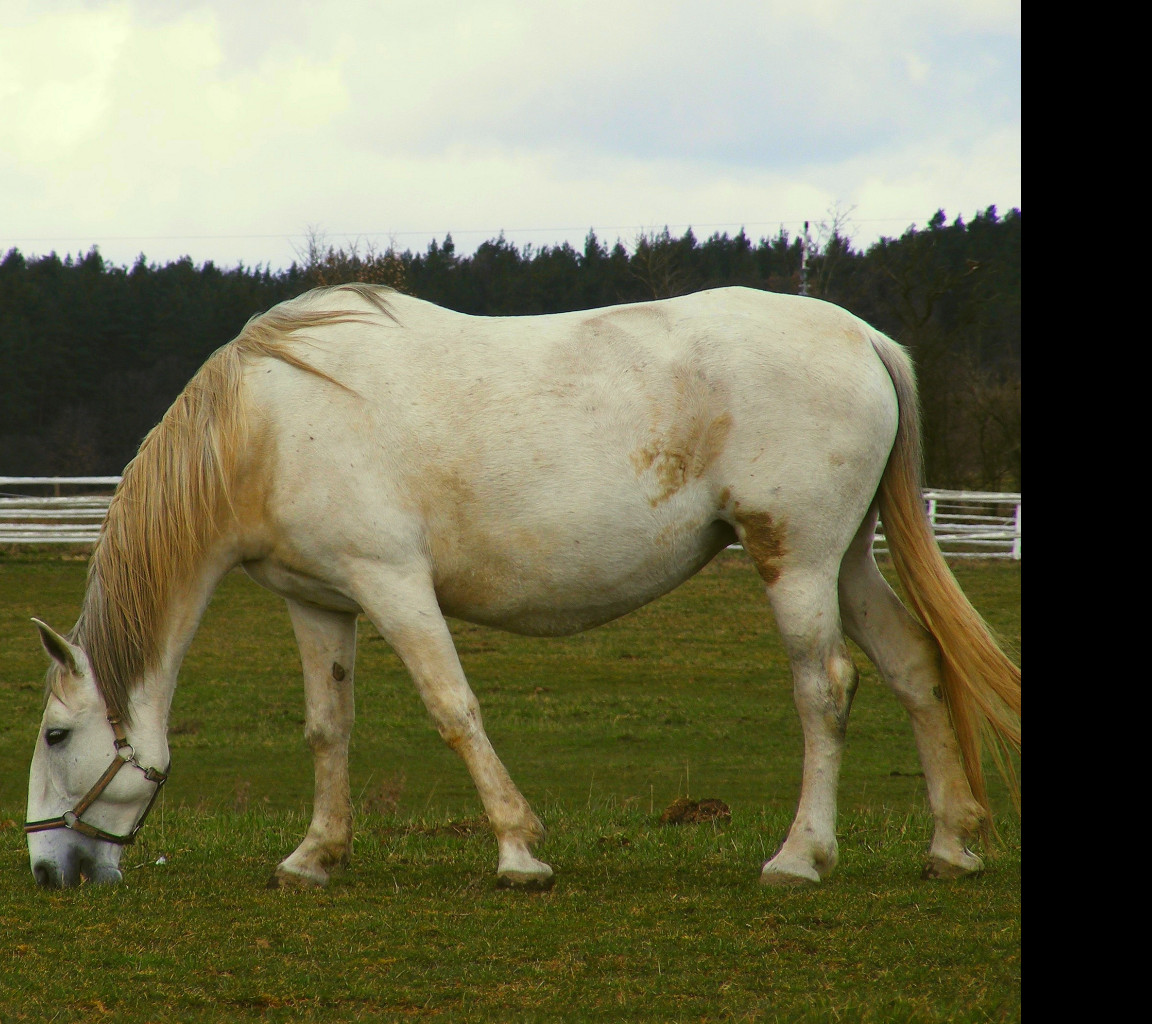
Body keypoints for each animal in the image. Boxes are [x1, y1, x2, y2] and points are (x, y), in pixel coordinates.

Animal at [24, 285, 1018, 889]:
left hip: (798, 560)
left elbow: (453, 707)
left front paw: (517, 851)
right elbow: (327, 727)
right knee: (915, 665)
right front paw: (315, 855)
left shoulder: (393, 582)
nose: (46, 869)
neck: (263, 425)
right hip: (845, 561)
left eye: (55, 734)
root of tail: (862, 336)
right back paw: (950, 845)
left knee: (826, 689)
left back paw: (801, 857)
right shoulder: (321, 600)